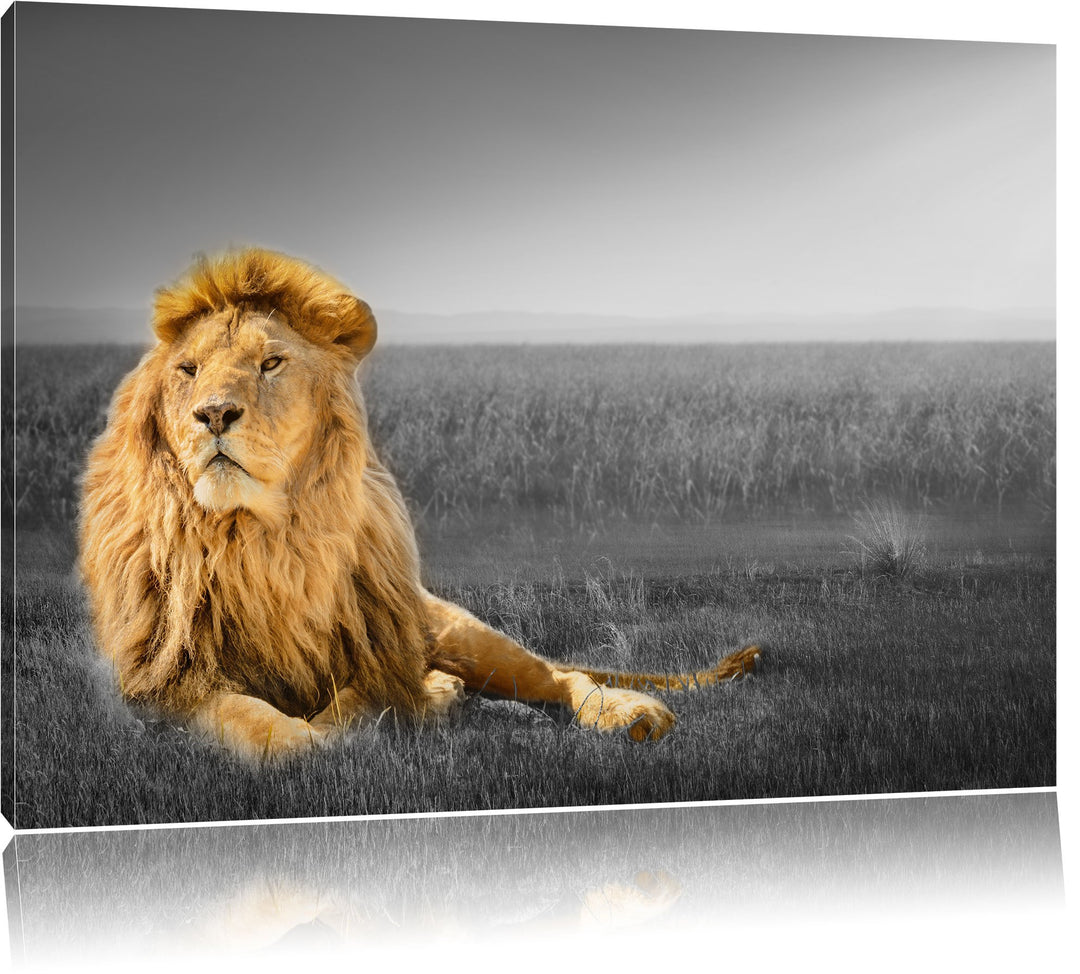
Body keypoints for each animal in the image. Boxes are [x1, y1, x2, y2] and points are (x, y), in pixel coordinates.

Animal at [78, 248, 761, 761]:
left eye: (271, 362)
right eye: (188, 370)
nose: (214, 414)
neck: (260, 539)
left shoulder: (376, 650)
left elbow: (361, 700)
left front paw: (405, 707)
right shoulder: (163, 682)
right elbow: (256, 721)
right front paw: (333, 730)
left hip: (461, 634)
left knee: (561, 677)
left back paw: (627, 713)